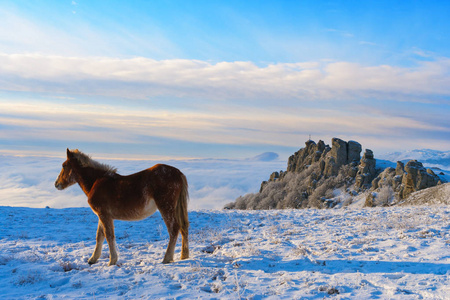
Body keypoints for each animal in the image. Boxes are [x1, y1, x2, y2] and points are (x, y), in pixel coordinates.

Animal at [54, 149, 188, 266]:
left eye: (64, 165)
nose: (56, 184)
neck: (96, 182)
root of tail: (178, 173)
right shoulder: (102, 216)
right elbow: (99, 236)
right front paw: (93, 259)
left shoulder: (104, 215)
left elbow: (109, 236)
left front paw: (112, 261)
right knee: (184, 227)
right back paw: (184, 256)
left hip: (166, 207)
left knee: (174, 229)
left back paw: (167, 258)